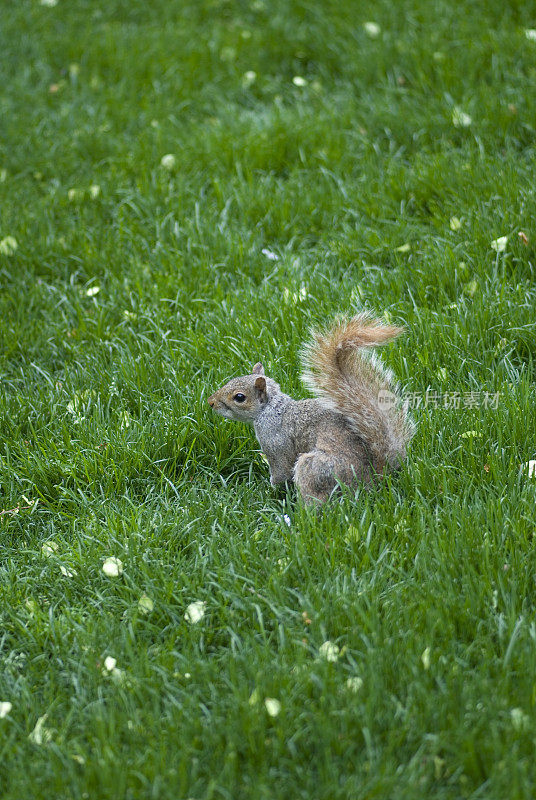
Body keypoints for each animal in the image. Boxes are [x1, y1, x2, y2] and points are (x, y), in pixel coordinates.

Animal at [206, 310, 414, 504]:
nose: (211, 402)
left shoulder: (274, 440)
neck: (271, 409)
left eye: (239, 397)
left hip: (315, 470)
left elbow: (281, 471)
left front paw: (268, 491)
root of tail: (371, 480)